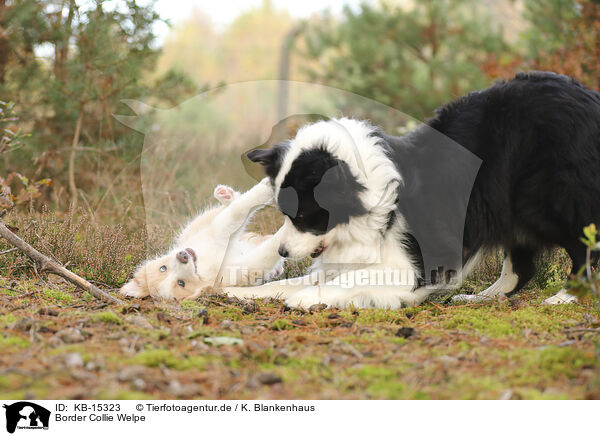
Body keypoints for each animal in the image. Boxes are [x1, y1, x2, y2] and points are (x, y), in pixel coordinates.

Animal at [120, 180, 284, 300]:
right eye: (181, 283)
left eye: (163, 268)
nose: (183, 256)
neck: (203, 266)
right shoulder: (243, 266)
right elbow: (266, 250)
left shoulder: (216, 232)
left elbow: (238, 209)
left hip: (194, 227)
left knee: (229, 206)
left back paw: (225, 195)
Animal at [223, 71, 600, 308]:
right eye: (284, 213)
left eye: (303, 214)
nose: (282, 252)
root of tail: (588, 96)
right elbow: (291, 282)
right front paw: (238, 291)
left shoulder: (408, 264)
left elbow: (340, 282)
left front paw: (302, 299)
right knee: (521, 267)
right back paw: (482, 297)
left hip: (543, 200)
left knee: (583, 244)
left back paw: (567, 296)